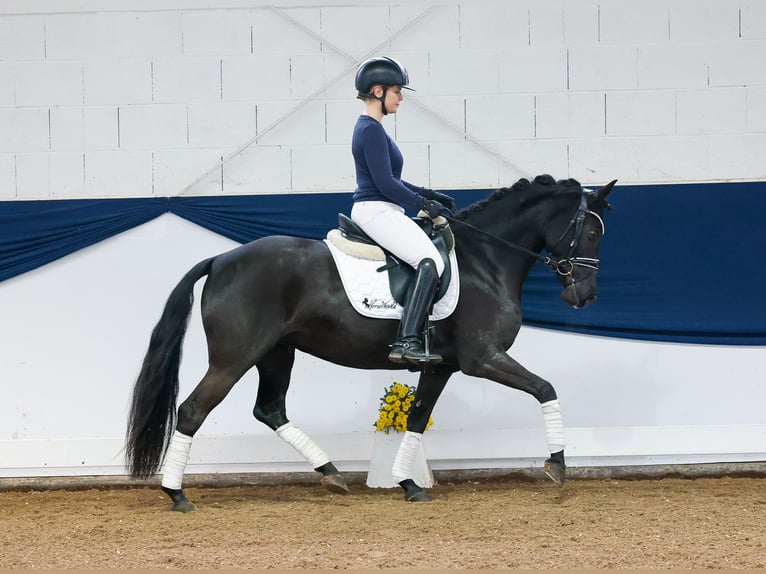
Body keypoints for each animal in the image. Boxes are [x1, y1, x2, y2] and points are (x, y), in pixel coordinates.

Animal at [127, 176, 616, 512]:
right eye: (593, 233)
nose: (585, 296)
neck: (485, 261)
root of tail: (221, 259)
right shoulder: (483, 358)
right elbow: (546, 389)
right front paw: (557, 465)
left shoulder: (440, 365)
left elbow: (416, 418)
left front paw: (408, 483)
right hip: (235, 357)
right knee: (193, 410)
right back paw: (177, 495)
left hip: (277, 353)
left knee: (270, 409)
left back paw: (331, 474)